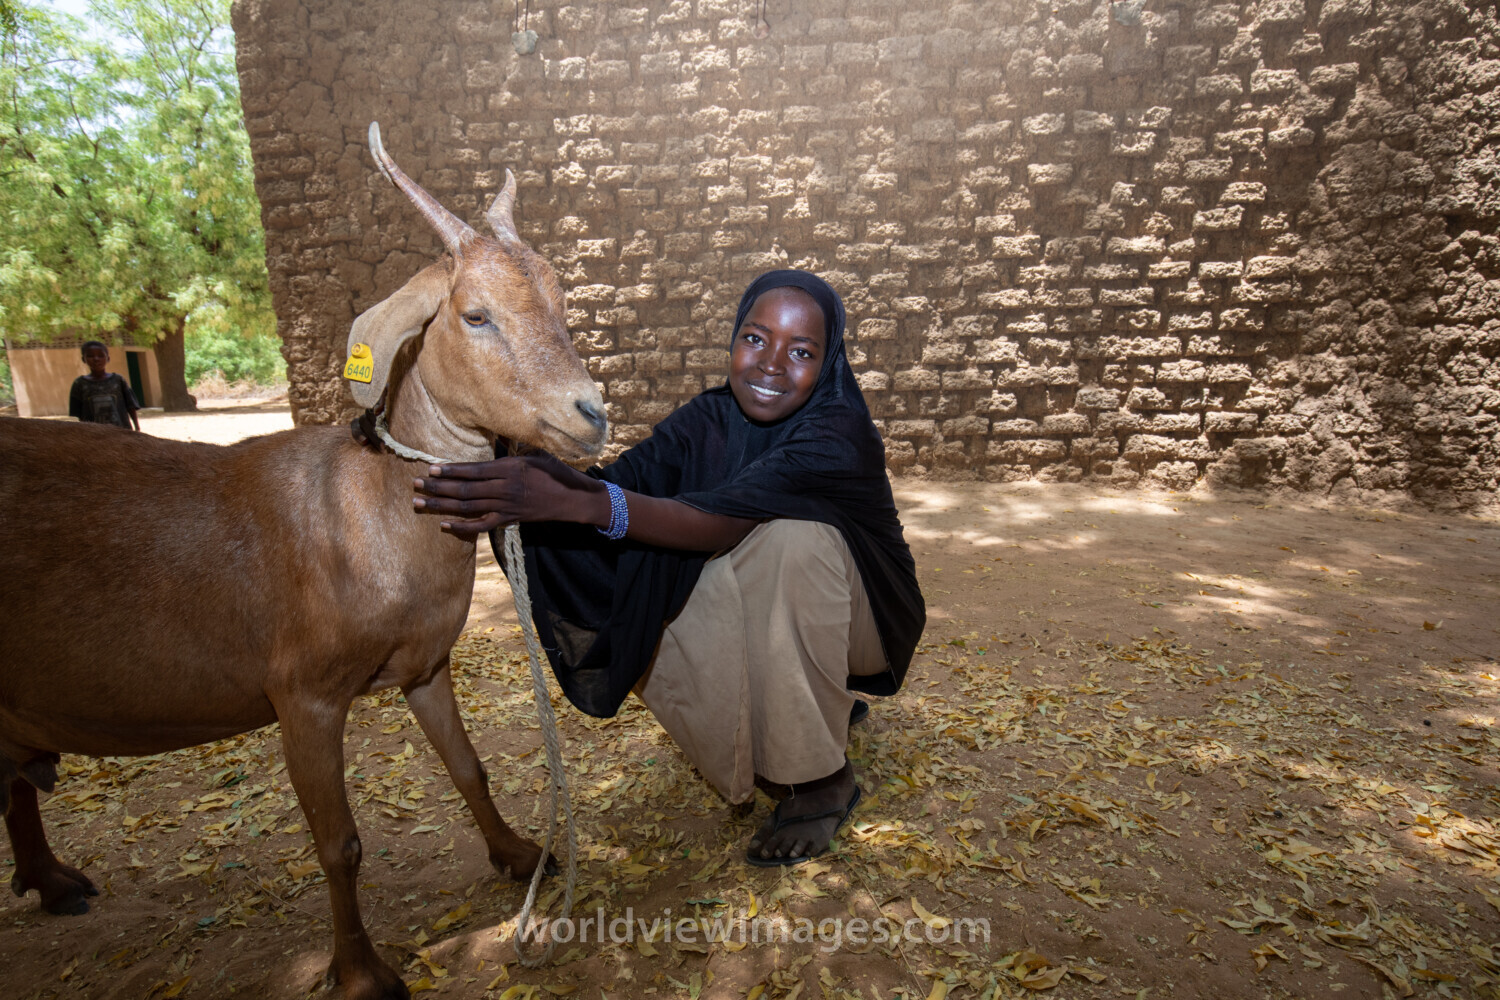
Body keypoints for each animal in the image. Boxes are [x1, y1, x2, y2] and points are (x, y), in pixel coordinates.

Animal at [0, 123, 607, 1000]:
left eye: (561, 306)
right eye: (475, 314)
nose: (589, 415)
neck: (369, 509)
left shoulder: (425, 665)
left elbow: (469, 769)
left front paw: (521, 854)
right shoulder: (303, 695)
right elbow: (339, 844)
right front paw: (360, 971)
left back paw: (51, 883)